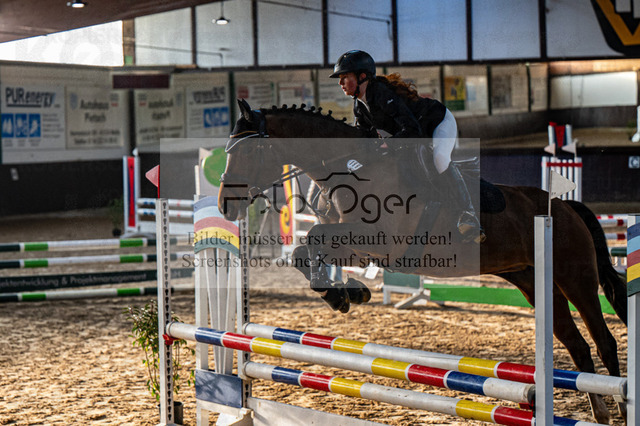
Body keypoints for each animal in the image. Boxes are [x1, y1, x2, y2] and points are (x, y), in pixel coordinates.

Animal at [219, 99, 628, 424]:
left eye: (247, 153)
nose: (226, 205)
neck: (350, 167)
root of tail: (564, 206)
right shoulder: (358, 245)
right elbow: (305, 251)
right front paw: (347, 295)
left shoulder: (379, 240)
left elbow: (314, 241)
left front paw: (342, 295)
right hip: (535, 283)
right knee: (577, 346)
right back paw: (600, 412)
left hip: (575, 277)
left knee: (604, 341)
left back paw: (622, 406)